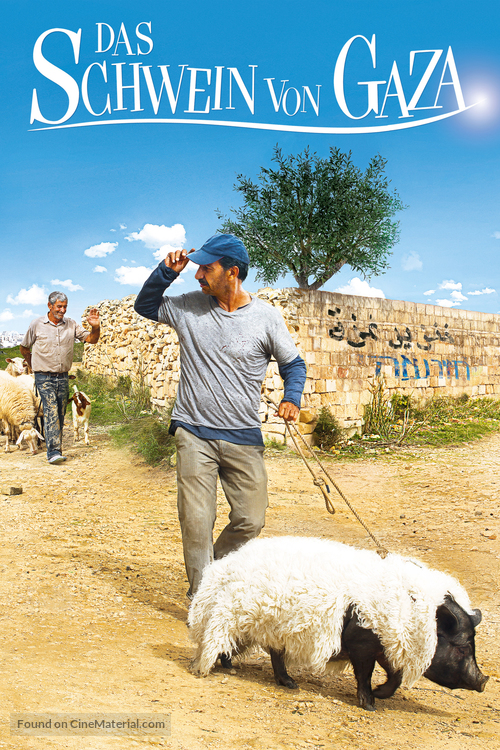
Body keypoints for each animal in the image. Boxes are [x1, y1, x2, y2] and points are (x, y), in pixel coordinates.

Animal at [188, 536, 488, 712]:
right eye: (462, 647)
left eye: (472, 645)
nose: (484, 681)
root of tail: (225, 565)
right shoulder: (362, 643)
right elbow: (366, 674)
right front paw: (369, 706)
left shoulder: (387, 644)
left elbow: (395, 675)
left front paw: (380, 694)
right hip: (233, 615)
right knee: (223, 640)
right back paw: (215, 668)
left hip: (273, 626)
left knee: (272, 653)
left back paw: (289, 684)